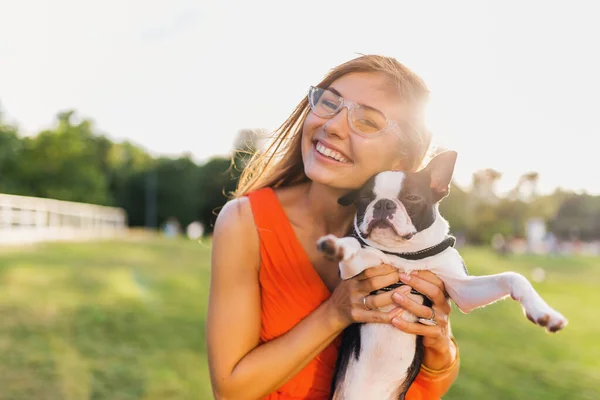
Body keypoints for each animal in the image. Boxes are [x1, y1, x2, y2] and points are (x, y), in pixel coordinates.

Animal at [316, 150, 564, 400]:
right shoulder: (357, 270)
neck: (406, 255)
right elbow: (353, 248)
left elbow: (512, 276)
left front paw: (543, 312)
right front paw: (338, 245)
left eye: (413, 197)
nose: (384, 204)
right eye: (365, 198)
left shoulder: (462, 289)